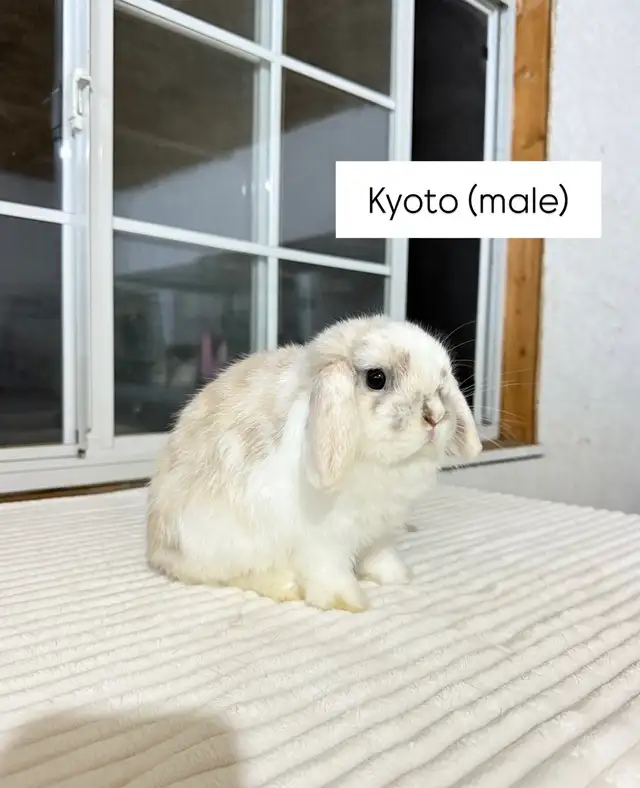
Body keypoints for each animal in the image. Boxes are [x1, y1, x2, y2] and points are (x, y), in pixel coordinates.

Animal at [146, 314, 482, 613]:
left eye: (443, 379)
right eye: (376, 378)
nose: (435, 416)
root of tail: (158, 549)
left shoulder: (379, 533)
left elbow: (379, 555)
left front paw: (397, 576)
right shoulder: (324, 542)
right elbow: (329, 571)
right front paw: (347, 601)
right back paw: (285, 587)